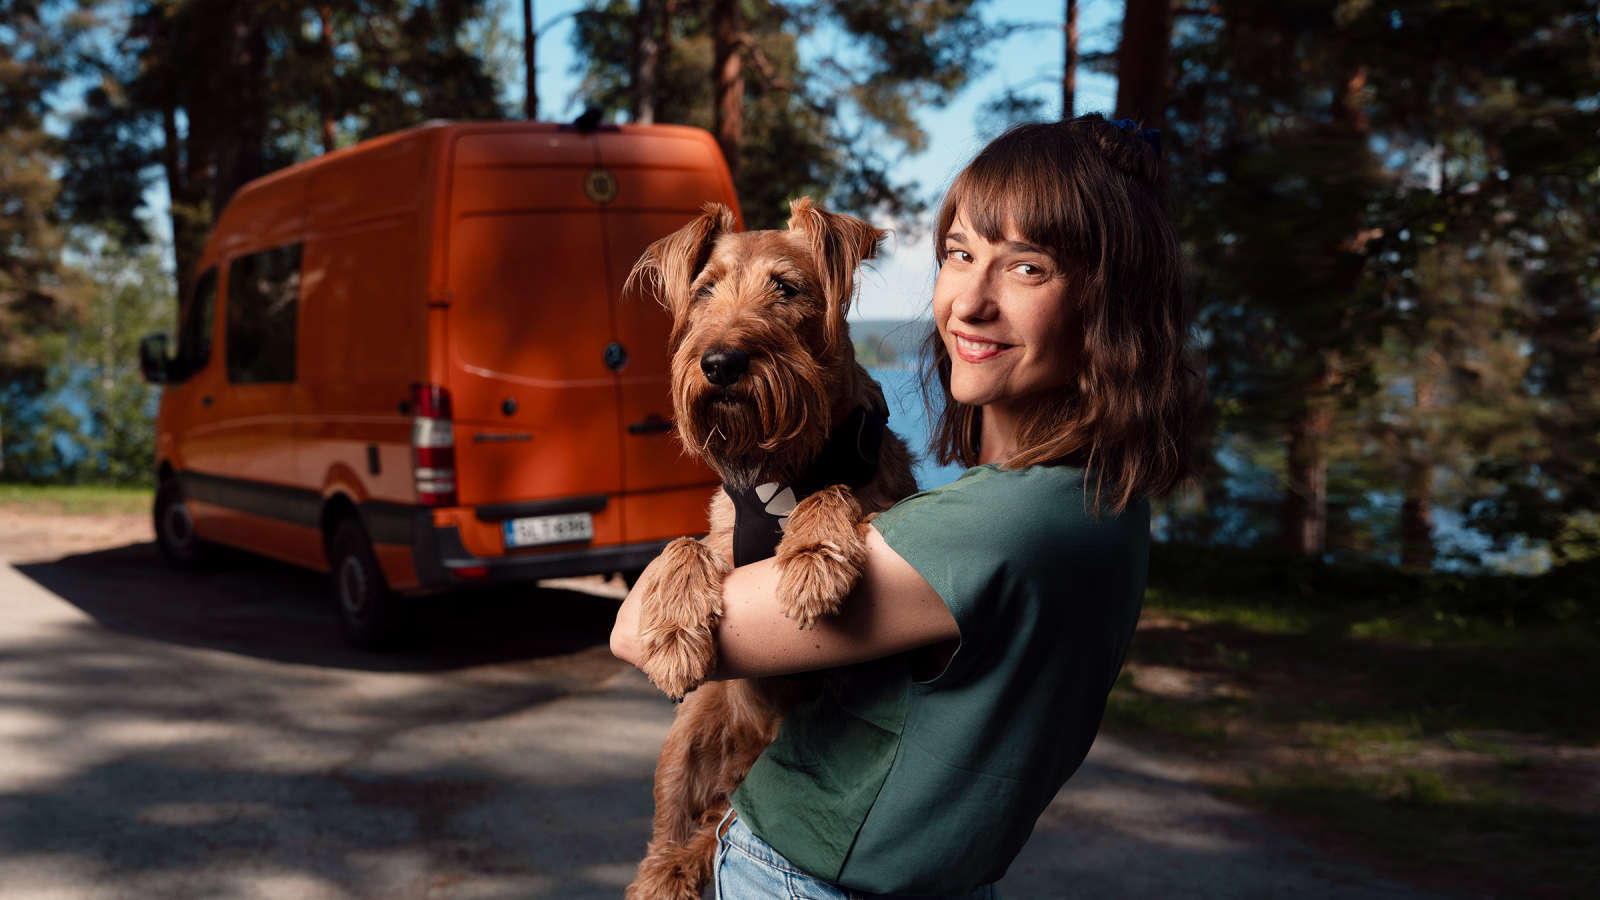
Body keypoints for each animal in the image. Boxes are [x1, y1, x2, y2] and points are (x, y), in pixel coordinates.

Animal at [627, 197, 928, 896]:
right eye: (705, 290)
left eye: (785, 289)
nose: (719, 362)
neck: (780, 469)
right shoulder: (719, 539)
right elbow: (681, 544)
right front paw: (673, 631)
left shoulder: (882, 499)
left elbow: (839, 494)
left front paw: (812, 559)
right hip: (692, 729)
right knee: (674, 830)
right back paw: (666, 872)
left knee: (717, 823)